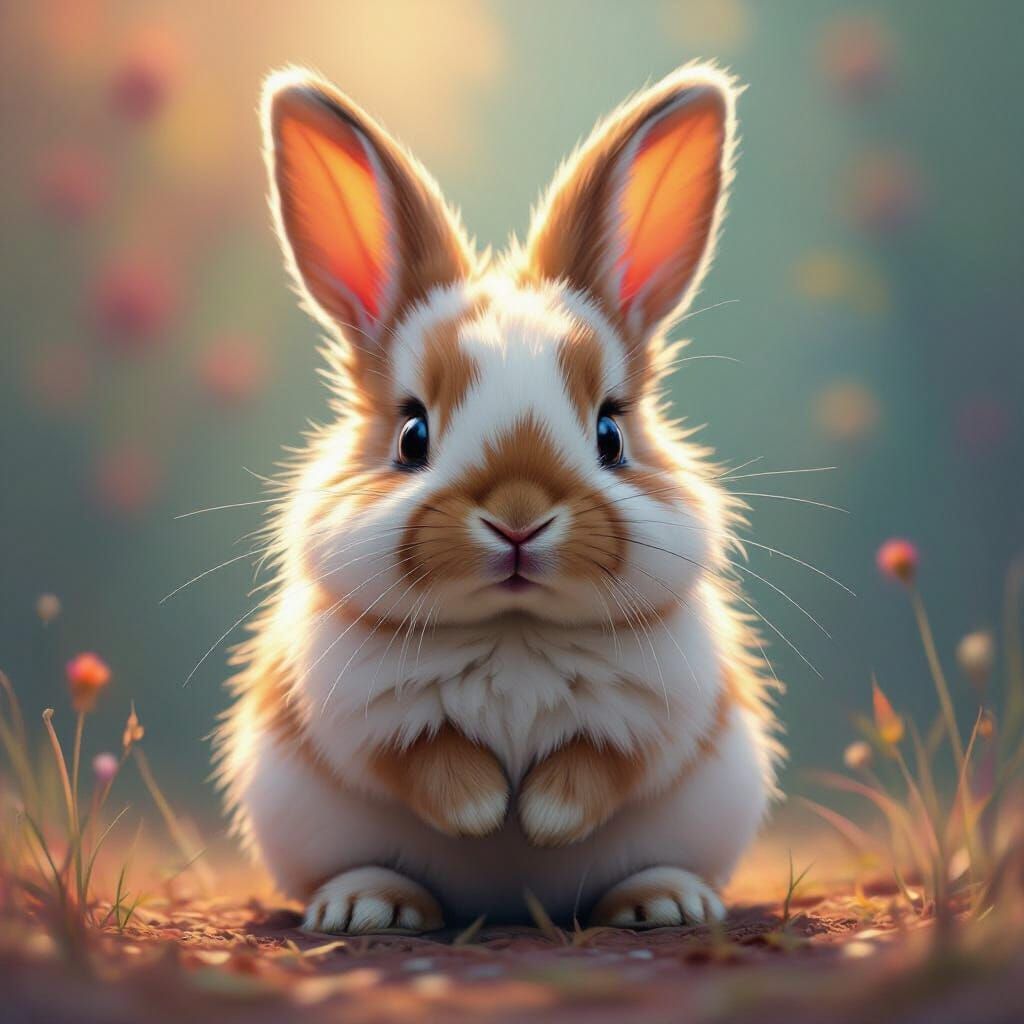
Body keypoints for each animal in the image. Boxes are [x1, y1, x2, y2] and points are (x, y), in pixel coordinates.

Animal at [215, 61, 783, 934]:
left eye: (610, 434)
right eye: (412, 435)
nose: (519, 518)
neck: (514, 628)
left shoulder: (659, 713)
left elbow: (600, 766)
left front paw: (540, 822)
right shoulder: (359, 715)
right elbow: (427, 760)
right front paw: (487, 814)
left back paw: (666, 902)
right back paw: (367, 908)